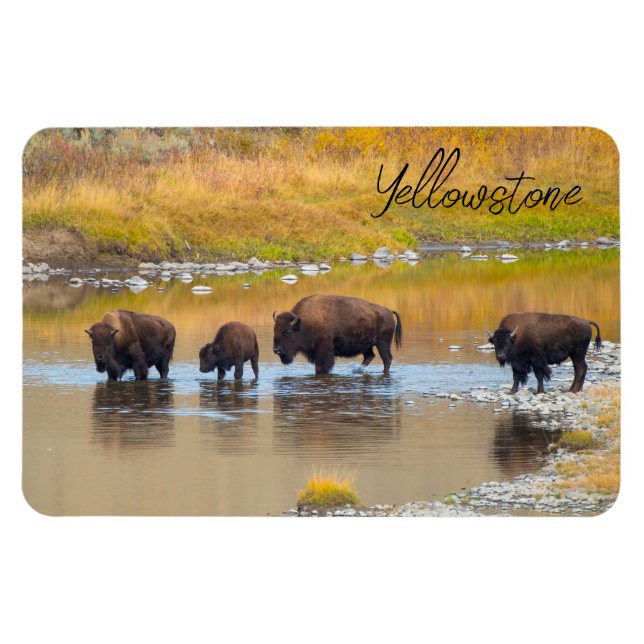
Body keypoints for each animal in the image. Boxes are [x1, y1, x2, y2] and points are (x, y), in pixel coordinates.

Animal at [272, 294, 402, 375]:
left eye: (287, 332)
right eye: (275, 330)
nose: (276, 350)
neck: (303, 323)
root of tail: (389, 311)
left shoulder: (323, 353)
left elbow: (321, 368)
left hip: (383, 343)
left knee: (387, 359)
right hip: (367, 346)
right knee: (369, 356)